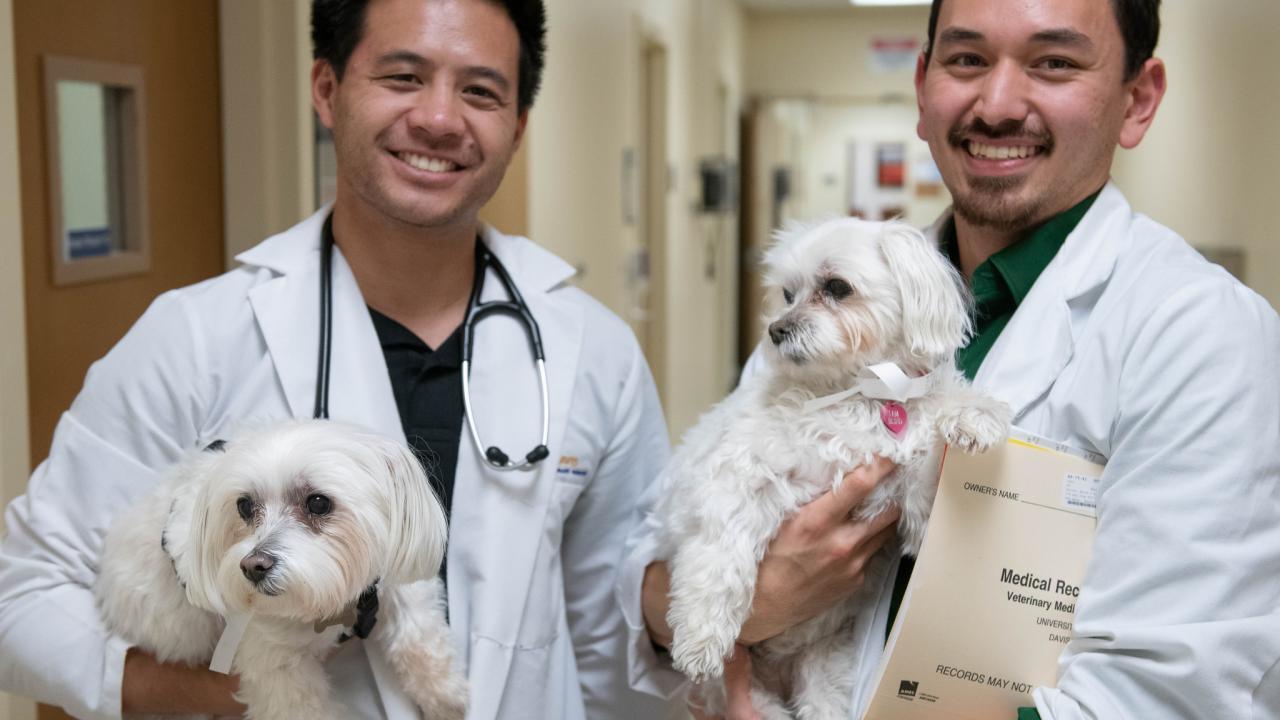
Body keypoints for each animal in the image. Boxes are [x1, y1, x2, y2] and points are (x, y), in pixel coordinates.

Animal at [94, 417, 468, 712]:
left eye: (318, 503)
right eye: (244, 506)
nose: (253, 566)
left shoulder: (390, 580)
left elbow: (420, 638)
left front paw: (447, 698)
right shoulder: (275, 662)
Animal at [660, 215, 1008, 712]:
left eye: (837, 287)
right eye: (787, 294)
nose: (776, 330)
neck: (861, 393)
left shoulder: (906, 504)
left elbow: (926, 481)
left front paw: (971, 415)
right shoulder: (741, 476)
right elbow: (720, 557)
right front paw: (699, 638)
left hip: (823, 669)